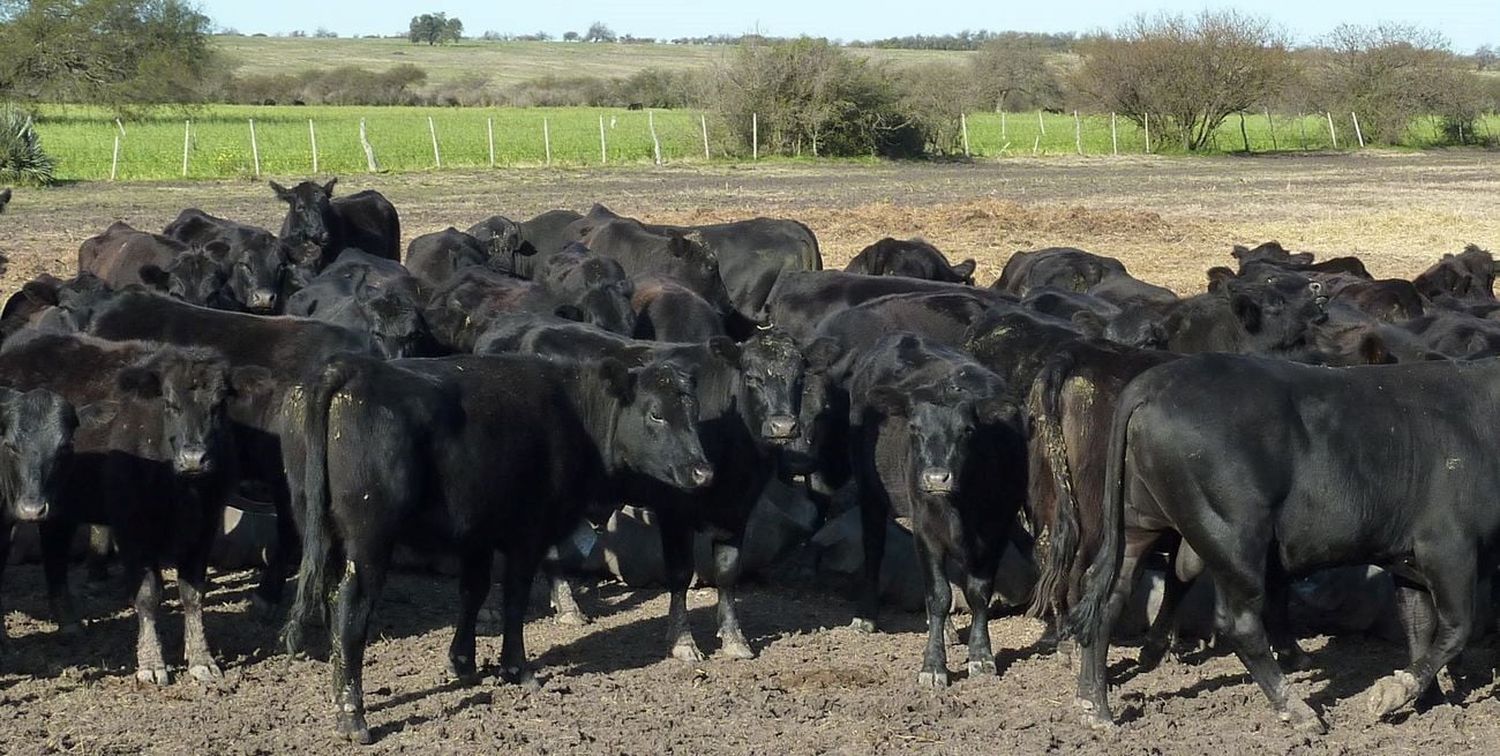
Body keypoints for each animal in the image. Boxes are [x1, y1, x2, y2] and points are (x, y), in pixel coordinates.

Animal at [283, 354, 717, 744]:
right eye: (656, 414)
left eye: (693, 413)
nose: (703, 471)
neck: (574, 414)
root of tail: (349, 368)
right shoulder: (527, 535)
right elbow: (514, 600)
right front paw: (516, 668)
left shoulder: (477, 534)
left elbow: (473, 592)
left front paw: (463, 662)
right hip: (369, 542)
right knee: (351, 614)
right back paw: (353, 717)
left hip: (321, 531)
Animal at [852, 333, 1026, 687]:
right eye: (914, 428)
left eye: (967, 430)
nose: (935, 478)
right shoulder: (926, 527)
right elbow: (938, 595)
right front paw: (933, 666)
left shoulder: (998, 529)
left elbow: (978, 592)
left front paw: (981, 656)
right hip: (870, 491)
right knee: (874, 549)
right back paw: (867, 615)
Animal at [1080, 354, 1500, 732]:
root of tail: (1154, 381)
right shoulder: (1449, 547)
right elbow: (1455, 629)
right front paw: (1394, 692)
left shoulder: (1407, 560)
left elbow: (1419, 628)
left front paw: (1431, 701)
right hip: (1233, 537)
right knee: (1241, 623)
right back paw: (1298, 711)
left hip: (1138, 522)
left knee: (1108, 595)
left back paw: (1095, 707)